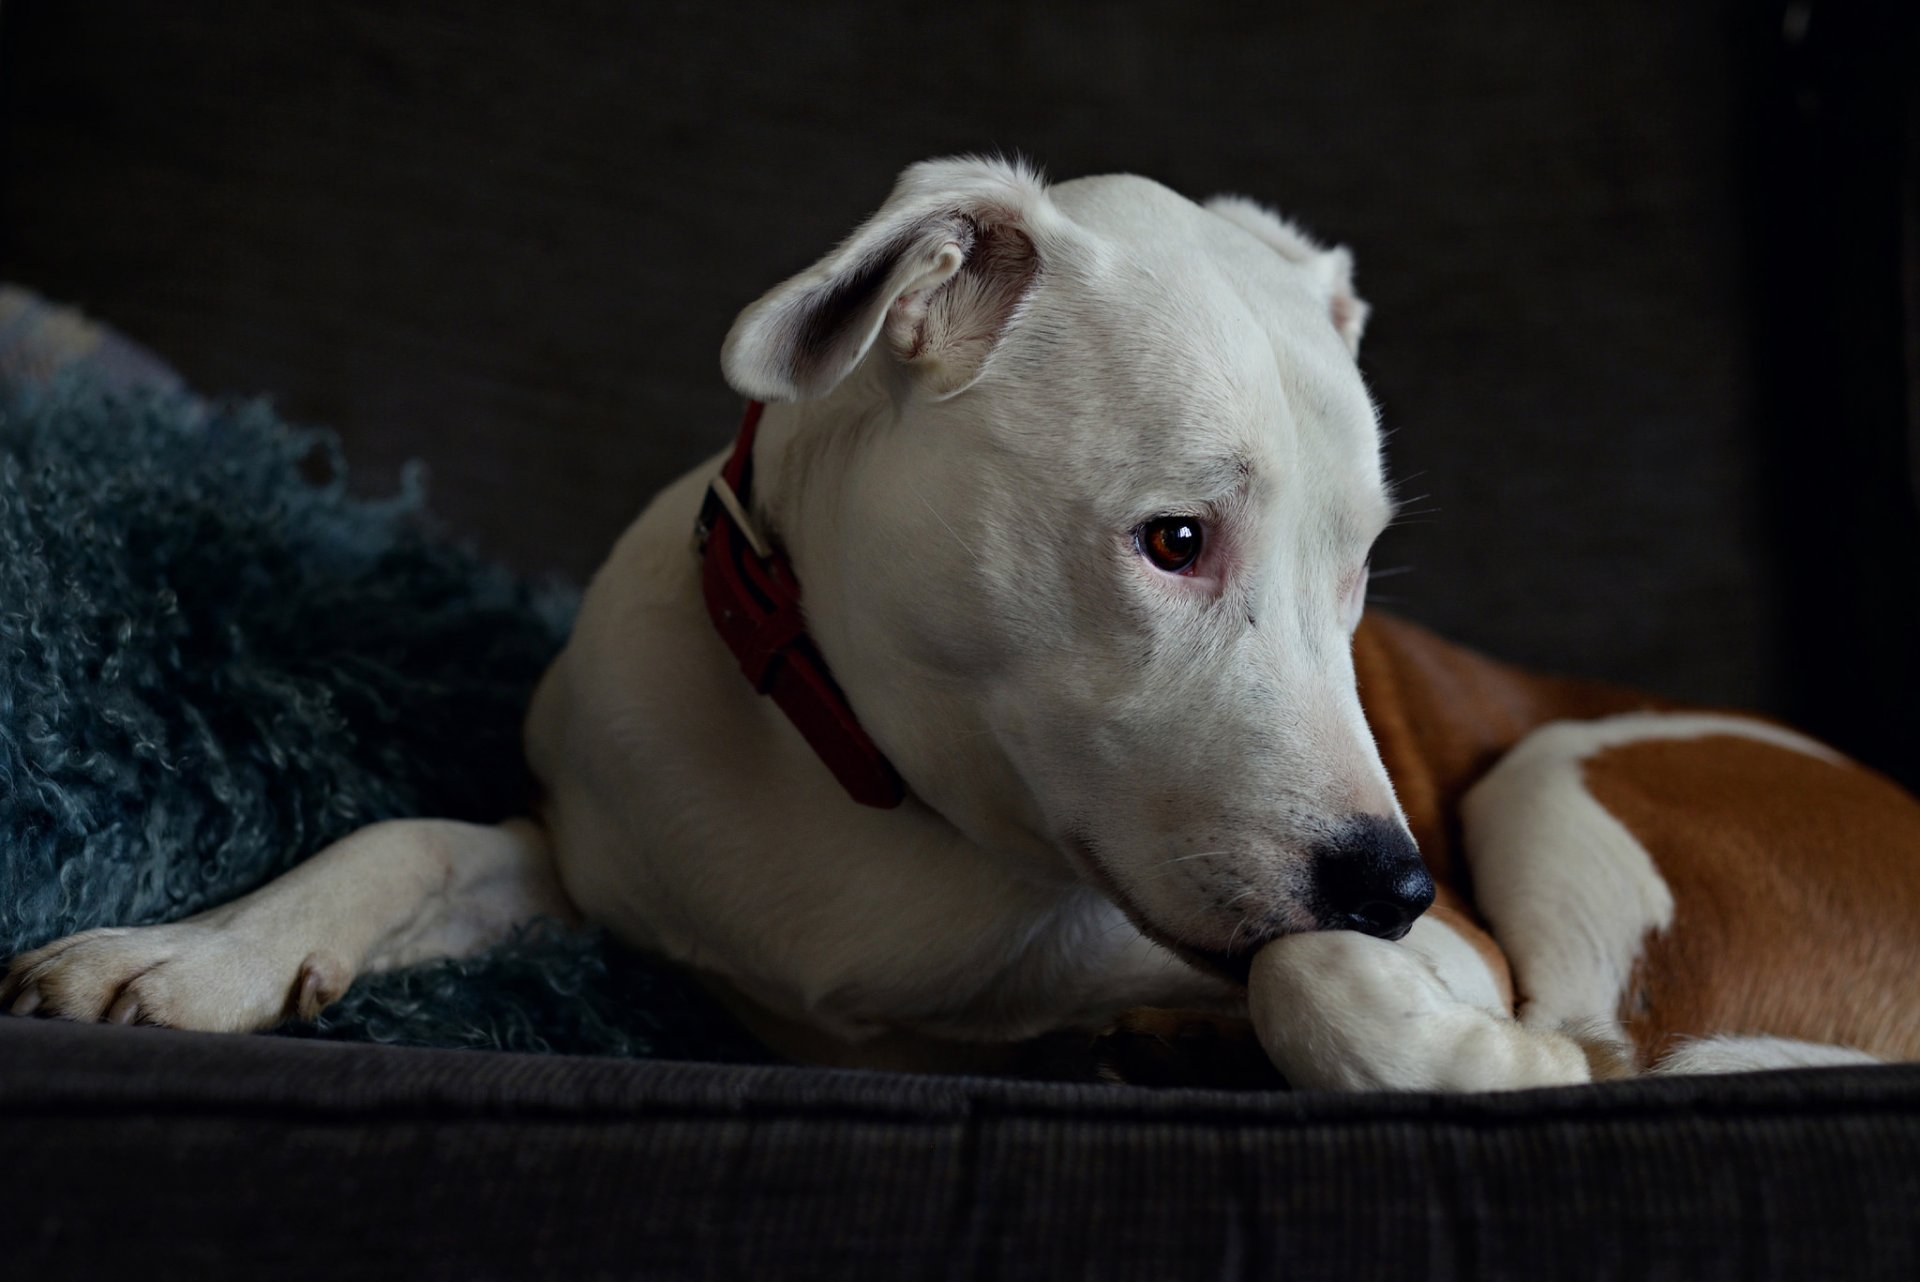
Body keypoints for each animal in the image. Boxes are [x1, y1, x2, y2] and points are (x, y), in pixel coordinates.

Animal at [3, 155, 1920, 1090]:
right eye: (1175, 539)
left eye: (1361, 569)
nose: (1391, 876)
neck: (885, 781)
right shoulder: (595, 845)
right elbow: (401, 838)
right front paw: (188, 953)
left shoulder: (1422, 930)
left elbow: (1323, 974)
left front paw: (1487, 1057)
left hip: (1562, 769)